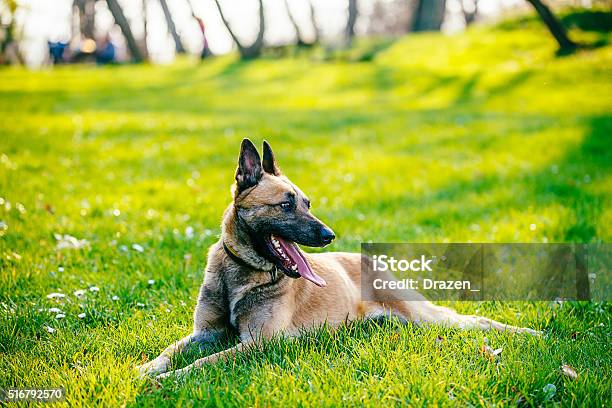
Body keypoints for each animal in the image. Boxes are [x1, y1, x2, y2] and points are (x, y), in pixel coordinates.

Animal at [137, 139, 536, 380]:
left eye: (307, 203)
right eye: (286, 205)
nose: (329, 235)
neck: (243, 273)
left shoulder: (259, 343)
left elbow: (206, 362)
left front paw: (170, 379)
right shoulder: (204, 334)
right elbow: (171, 350)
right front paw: (147, 369)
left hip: (423, 316)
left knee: (476, 320)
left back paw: (528, 333)